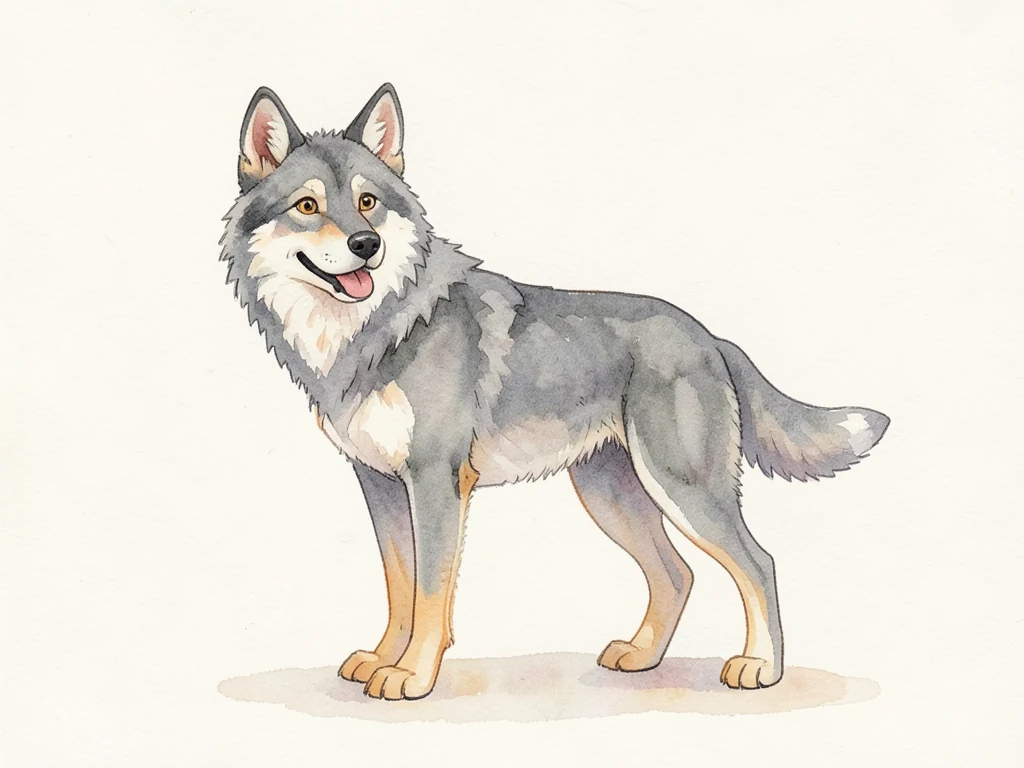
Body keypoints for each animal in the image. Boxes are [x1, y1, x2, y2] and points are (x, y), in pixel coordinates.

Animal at [219, 83, 890, 701]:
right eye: (308, 205)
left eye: (368, 203)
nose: (366, 245)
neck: (377, 330)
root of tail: (709, 336)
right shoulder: (380, 484)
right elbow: (400, 584)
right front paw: (384, 659)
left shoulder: (435, 483)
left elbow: (431, 591)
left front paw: (411, 675)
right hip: (611, 494)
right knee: (676, 575)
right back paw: (641, 657)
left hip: (681, 488)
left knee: (758, 564)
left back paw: (760, 669)